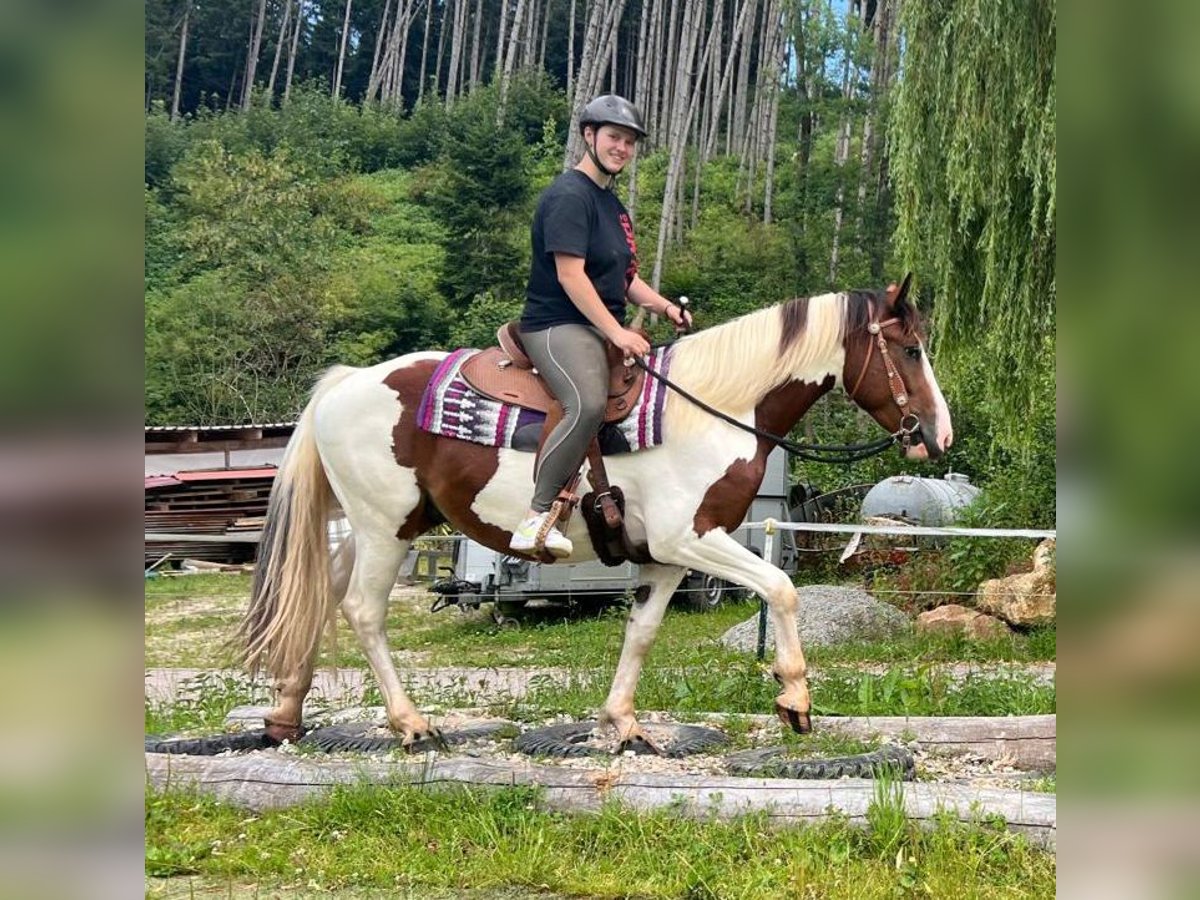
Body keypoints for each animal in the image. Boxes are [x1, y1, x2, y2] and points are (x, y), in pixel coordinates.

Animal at [241, 278, 955, 748]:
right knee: (362, 610)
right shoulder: (692, 537)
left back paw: (285, 713)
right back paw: (410, 723)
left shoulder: (665, 557)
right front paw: (795, 700)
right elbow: (781, 588)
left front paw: (622, 723)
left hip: (380, 527)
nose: (938, 435)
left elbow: (640, 632)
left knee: (319, 594)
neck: (714, 410)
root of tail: (344, 384)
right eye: (911, 350)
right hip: (385, 528)